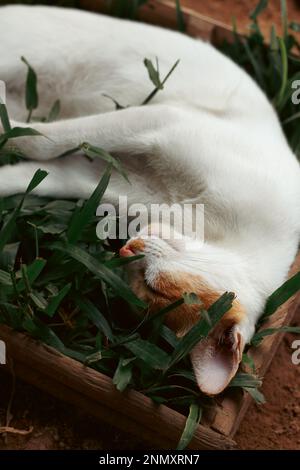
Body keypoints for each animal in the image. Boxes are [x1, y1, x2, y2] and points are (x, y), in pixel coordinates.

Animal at [0, 5, 300, 394]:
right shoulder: (163, 119)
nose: (128, 248)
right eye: (157, 286)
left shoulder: (95, 175)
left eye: (145, 285)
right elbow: (41, 139)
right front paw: (5, 127)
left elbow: (38, 170)